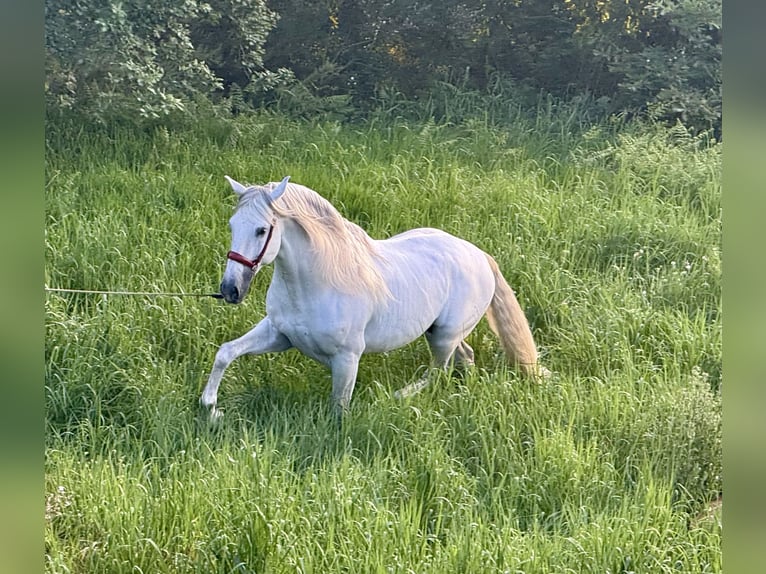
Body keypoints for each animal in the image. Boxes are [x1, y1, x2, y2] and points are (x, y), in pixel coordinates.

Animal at [198, 177, 544, 418]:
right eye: (232, 225)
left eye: (261, 230)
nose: (230, 289)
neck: (318, 282)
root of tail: (480, 256)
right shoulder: (279, 335)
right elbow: (226, 352)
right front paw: (212, 407)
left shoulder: (347, 358)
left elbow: (339, 409)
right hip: (441, 333)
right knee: (464, 357)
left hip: (444, 336)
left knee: (438, 371)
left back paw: (400, 396)